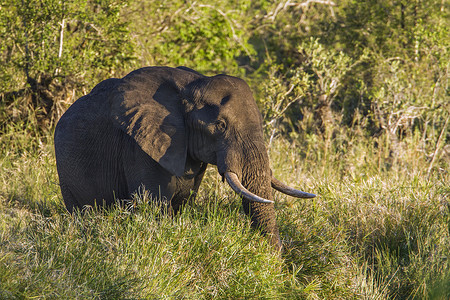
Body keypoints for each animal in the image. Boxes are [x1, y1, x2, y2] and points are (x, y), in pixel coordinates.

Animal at [54, 67, 314, 250]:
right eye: (220, 125)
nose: (277, 266)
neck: (189, 88)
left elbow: (183, 202)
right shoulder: (139, 146)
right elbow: (155, 205)